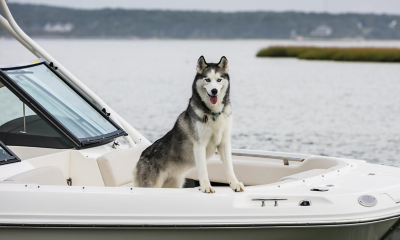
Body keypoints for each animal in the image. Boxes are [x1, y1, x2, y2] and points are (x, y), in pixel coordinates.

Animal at [134, 55, 244, 193]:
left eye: (219, 80)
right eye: (207, 79)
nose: (214, 91)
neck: (213, 114)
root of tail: (140, 158)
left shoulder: (224, 142)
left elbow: (229, 166)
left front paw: (235, 183)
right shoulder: (199, 145)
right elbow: (203, 169)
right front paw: (206, 186)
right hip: (151, 185)